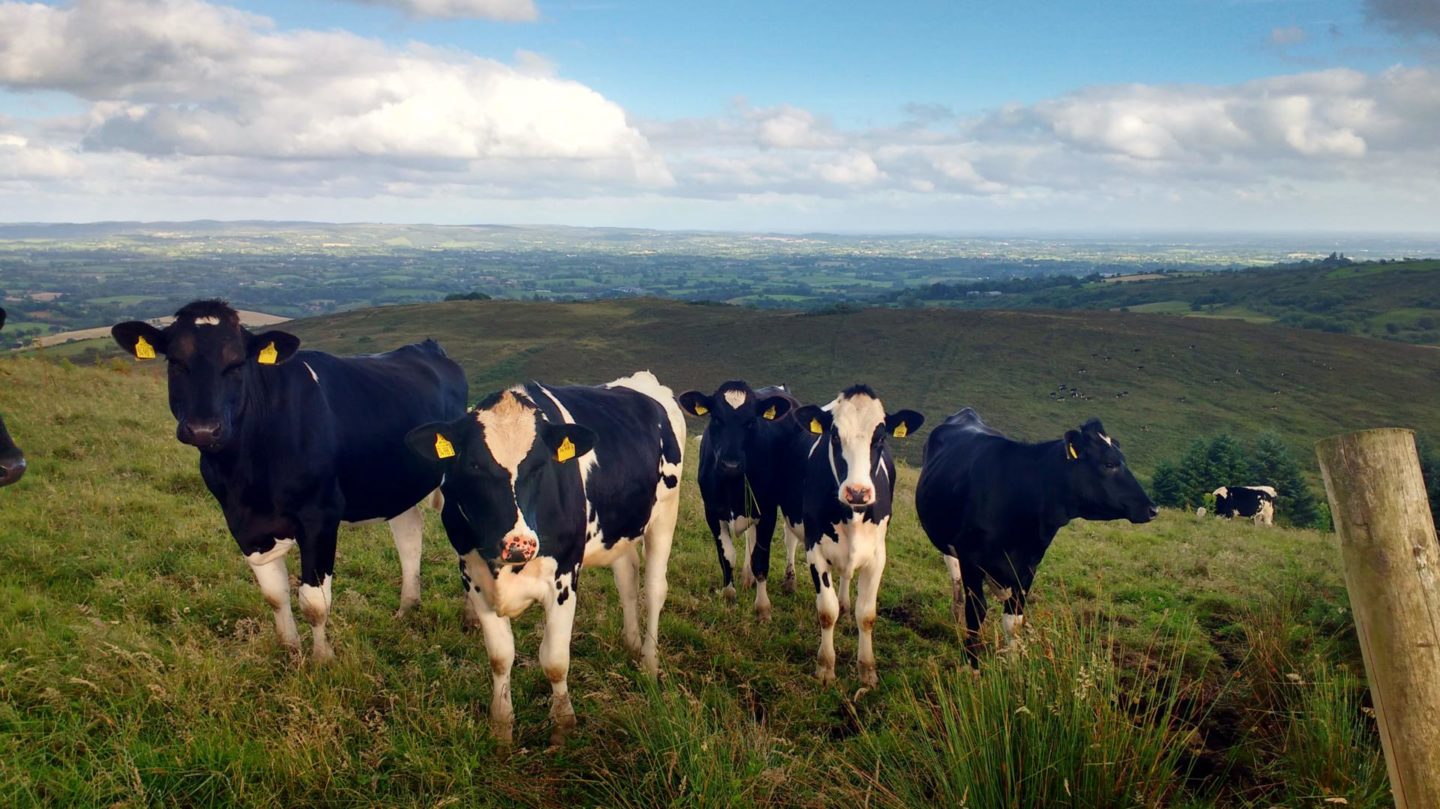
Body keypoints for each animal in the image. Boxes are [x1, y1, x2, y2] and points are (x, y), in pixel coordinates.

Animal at [113, 299, 460, 659]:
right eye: (175, 361)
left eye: (237, 363)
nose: (203, 430)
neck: (248, 475)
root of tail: (425, 345)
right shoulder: (242, 523)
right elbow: (275, 595)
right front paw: (290, 651)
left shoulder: (320, 516)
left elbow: (314, 602)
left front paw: (322, 659)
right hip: (396, 484)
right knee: (409, 533)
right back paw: (407, 608)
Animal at [400, 371, 679, 742]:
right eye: (473, 464)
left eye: (540, 465)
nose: (519, 544)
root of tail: (640, 380)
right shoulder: (473, 576)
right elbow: (500, 657)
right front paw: (502, 728)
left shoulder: (564, 577)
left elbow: (555, 660)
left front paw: (563, 725)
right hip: (619, 529)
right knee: (627, 580)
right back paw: (631, 643)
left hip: (664, 515)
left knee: (655, 589)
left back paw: (649, 663)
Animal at [673, 380, 812, 613]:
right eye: (716, 418)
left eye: (751, 421)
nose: (730, 465)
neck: (732, 485)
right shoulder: (712, 511)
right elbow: (727, 555)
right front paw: (729, 594)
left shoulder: (767, 511)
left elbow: (761, 559)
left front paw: (763, 606)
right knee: (750, 537)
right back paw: (748, 578)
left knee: (789, 538)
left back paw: (789, 581)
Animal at [789, 382, 921, 679]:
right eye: (835, 437)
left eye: (880, 438)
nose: (858, 492)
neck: (853, 514)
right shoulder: (815, 551)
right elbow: (826, 612)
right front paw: (825, 666)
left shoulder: (877, 556)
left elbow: (867, 615)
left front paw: (867, 669)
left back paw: (845, 604)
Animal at [921, 405, 1157, 665]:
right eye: (1109, 464)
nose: (1152, 509)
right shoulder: (971, 559)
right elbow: (976, 612)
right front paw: (972, 667)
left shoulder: (1028, 566)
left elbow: (1013, 621)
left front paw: (1014, 667)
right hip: (950, 548)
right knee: (956, 582)